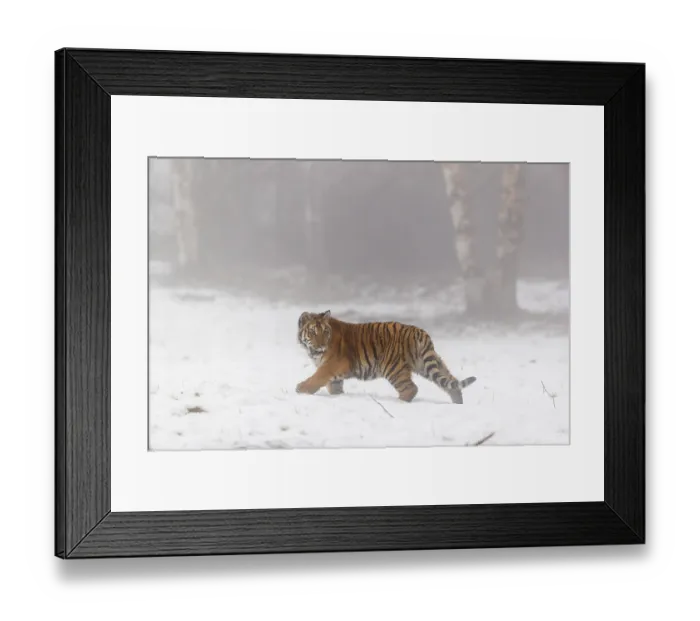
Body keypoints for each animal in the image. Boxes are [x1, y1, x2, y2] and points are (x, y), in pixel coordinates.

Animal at [296, 310, 476, 404]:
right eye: (313, 332)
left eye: (325, 332)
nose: (321, 346)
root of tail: (419, 331)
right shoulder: (335, 373)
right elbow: (333, 386)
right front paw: (337, 396)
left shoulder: (333, 364)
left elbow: (318, 377)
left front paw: (301, 389)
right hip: (427, 364)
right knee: (451, 382)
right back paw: (458, 403)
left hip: (392, 367)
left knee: (410, 388)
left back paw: (399, 403)